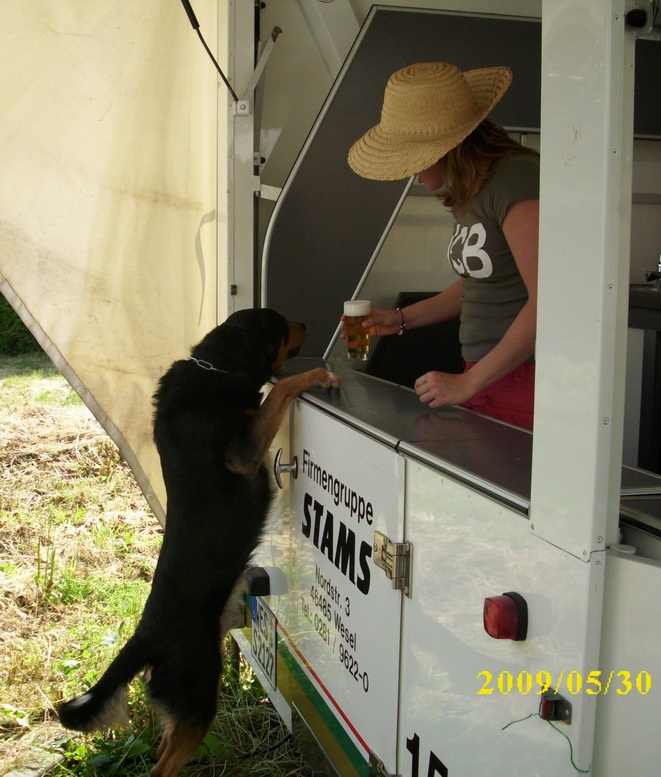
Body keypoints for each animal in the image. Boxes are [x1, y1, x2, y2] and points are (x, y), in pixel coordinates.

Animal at [58, 310, 340, 776]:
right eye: (282, 324)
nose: (305, 323)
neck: (216, 366)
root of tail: (147, 634)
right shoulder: (244, 451)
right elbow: (280, 388)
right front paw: (319, 375)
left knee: (162, 749)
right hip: (199, 694)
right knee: (163, 765)